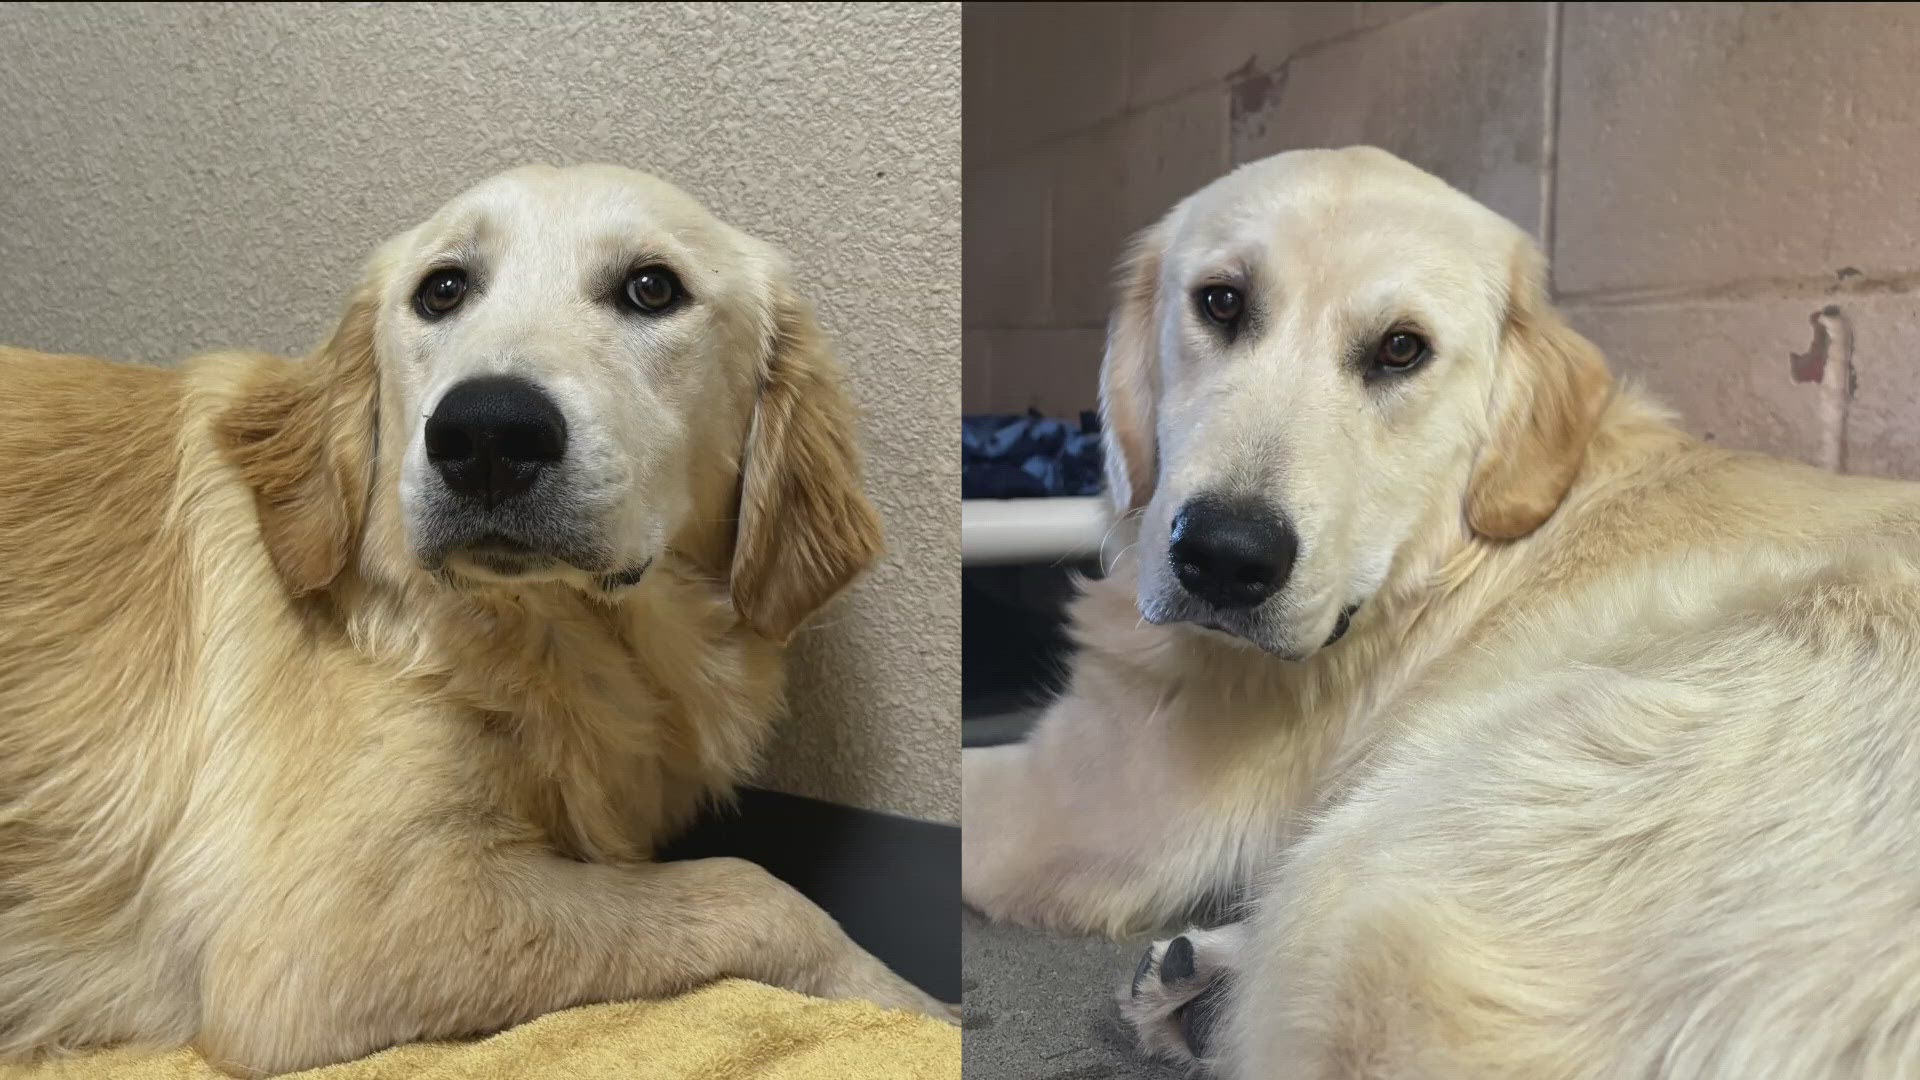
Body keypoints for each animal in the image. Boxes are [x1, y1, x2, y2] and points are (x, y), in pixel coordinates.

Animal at [0, 164, 948, 1068]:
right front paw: (914, 1003)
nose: (487, 435)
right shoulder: (321, 942)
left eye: (652, 288)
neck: (551, 635)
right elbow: (753, 888)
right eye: (443, 289)